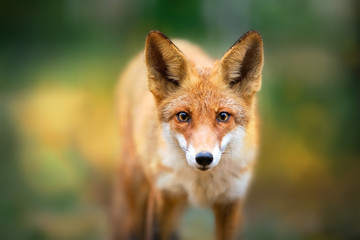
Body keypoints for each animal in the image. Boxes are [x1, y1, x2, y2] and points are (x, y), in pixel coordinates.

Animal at [114, 30, 262, 240]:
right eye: (183, 116)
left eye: (223, 116)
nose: (204, 158)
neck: (201, 185)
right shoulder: (163, 195)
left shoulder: (231, 201)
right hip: (137, 188)